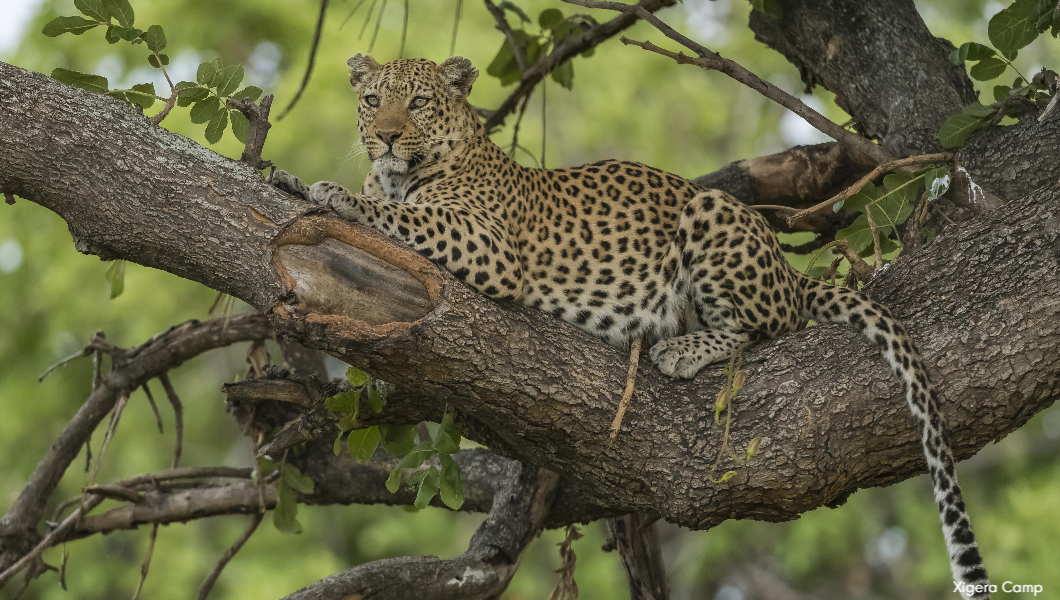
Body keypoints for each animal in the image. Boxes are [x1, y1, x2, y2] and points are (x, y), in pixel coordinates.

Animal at [271, 54, 992, 597]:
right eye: (371, 100)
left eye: (419, 103)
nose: (387, 136)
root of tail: (790, 270)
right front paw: (288, 174)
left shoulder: (488, 245)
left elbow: (402, 217)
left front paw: (336, 193)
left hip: (711, 212)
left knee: (765, 326)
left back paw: (682, 348)